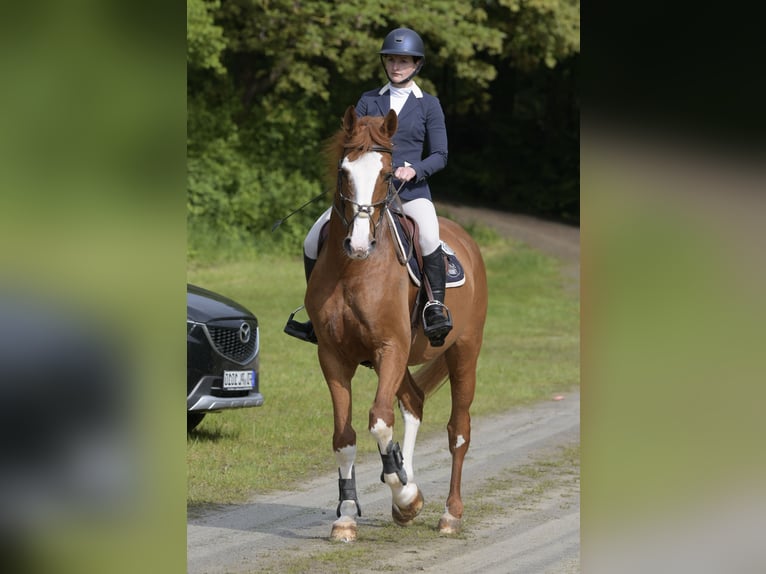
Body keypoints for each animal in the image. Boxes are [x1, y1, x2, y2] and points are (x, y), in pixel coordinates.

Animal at [304, 106, 488, 544]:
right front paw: (347, 516)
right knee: (415, 402)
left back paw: (450, 514)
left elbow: (379, 421)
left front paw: (407, 497)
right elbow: (345, 437)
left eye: (388, 174)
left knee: (458, 430)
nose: (357, 244)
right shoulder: (334, 356)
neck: (354, 270)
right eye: (344, 171)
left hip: (463, 352)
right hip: (399, 360)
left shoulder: (390, 347)